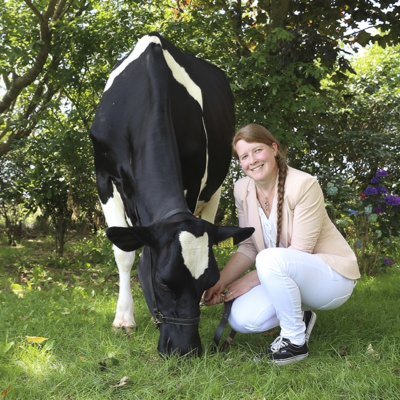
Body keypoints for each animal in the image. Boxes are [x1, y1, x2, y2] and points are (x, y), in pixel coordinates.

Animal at [90, 32, 253, 356]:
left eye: (210, 280)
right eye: (164, 283)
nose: (186, 350)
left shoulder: (193, 176)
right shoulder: (104, 177)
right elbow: (124, 253)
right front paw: (124, 318)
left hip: (216, 185)